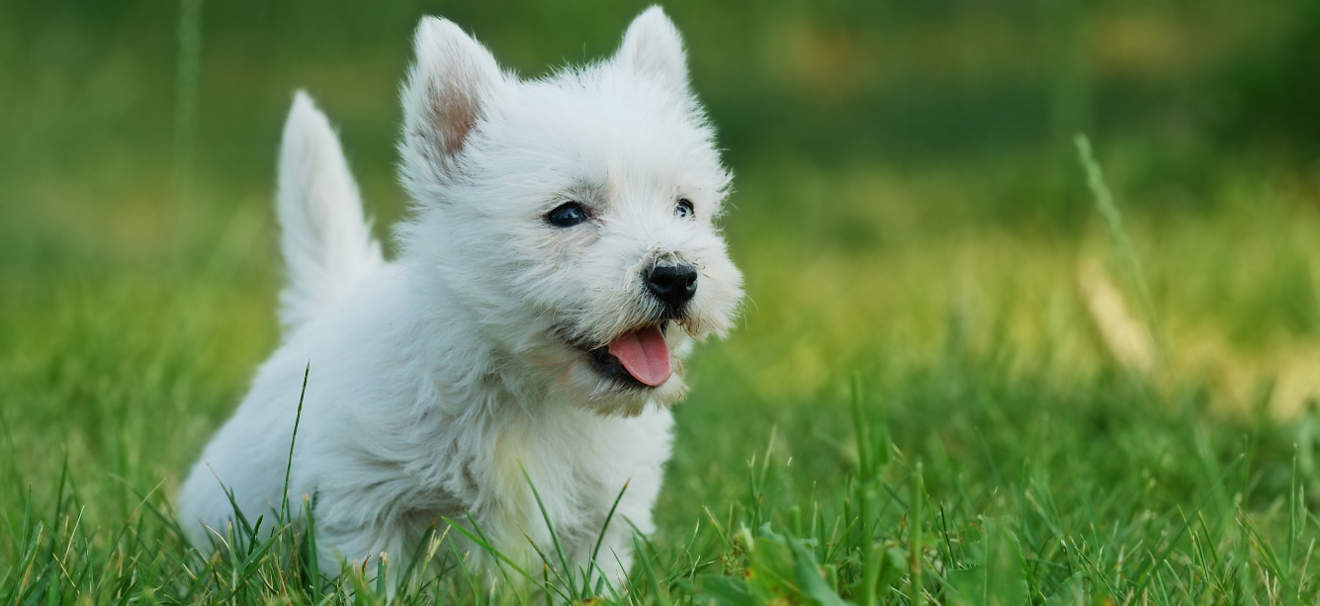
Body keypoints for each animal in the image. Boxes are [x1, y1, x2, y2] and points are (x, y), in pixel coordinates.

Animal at [178, 5, 744, 594]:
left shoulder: (604, 517)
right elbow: (375, 579)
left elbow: (594, 580)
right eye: (567, 213)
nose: (677, 275)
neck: (527, 393)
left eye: (684, 207)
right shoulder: (367, 501)